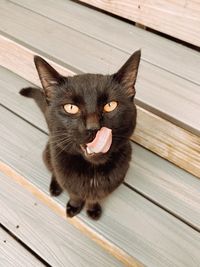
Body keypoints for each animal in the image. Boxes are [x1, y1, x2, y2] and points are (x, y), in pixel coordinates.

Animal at [19, 49, 141, 220]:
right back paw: (55, 187)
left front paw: (92, 209)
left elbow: (94, 198)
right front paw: (74, 207)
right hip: (48, 153)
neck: (92, 173)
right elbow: (74, 194)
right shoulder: (67, 179)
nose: (93, 128)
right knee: (54, 172)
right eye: (71, 107)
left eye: (110, 105)